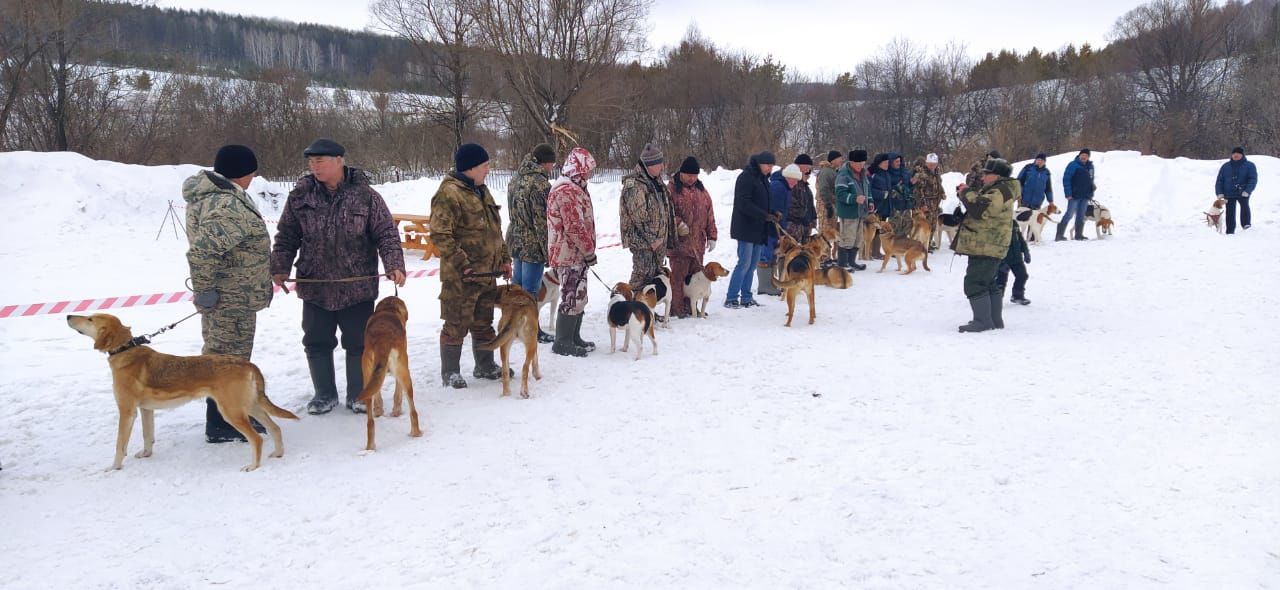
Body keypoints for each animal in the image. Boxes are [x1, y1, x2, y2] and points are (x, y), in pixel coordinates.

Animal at [68, 312, 296, 468]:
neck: (125, 350)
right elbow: (147, 436)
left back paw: (253, 466)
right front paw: (146, 454)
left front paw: (113, 468)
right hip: (249, 406)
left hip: (232, 411)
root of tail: (247, 364)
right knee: (275, 428)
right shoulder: (146, 409)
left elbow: (119, 445)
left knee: (257, 438)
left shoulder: (127, 412)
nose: (69, 315)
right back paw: (278, 453)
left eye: (90, 319)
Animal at [355, 296, 419, 447]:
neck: (388, 308)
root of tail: (382, 340)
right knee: (413, 411)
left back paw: (370, 447)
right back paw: (416, 433)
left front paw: (380, 410)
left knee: (370, 422)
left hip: (367, 377)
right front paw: (396, 411)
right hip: (404, 373)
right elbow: (397, 394)